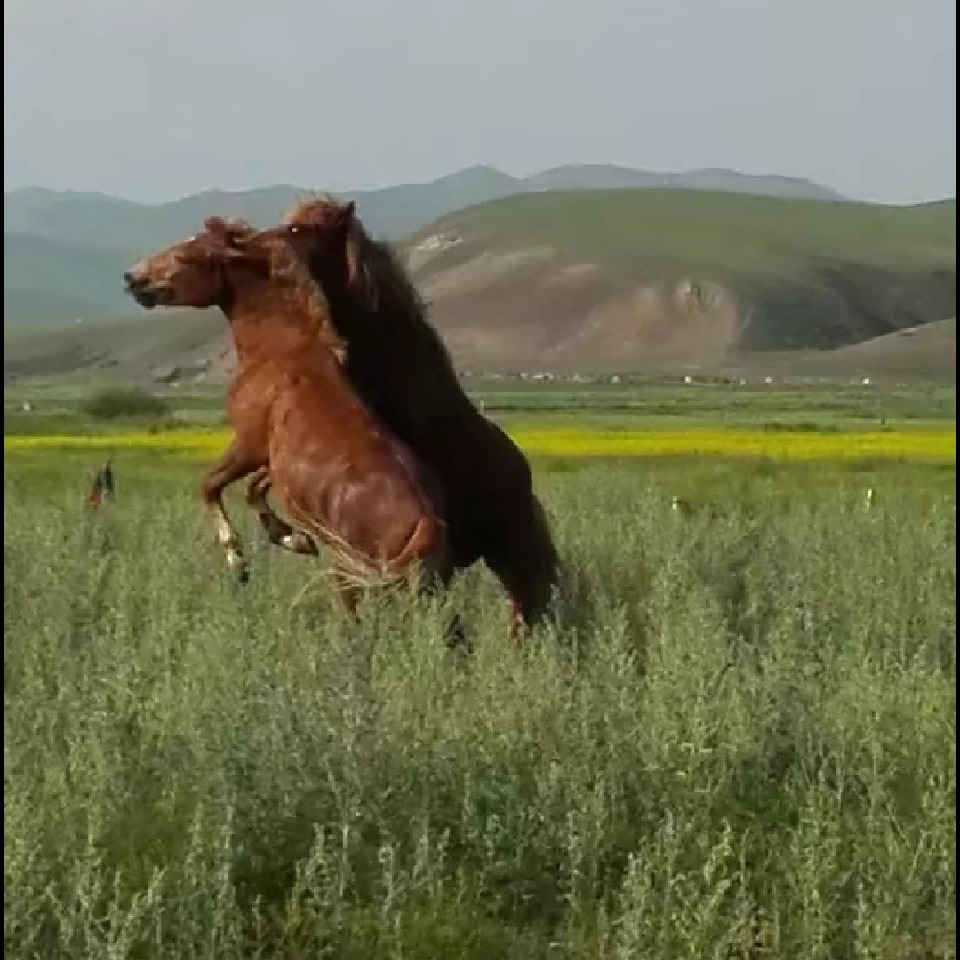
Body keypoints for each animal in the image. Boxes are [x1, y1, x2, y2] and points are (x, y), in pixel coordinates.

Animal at [123, 218, 454, 616]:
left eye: (187, 255)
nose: (132, 278)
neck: (281, 354)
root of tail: (428, 526)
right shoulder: (272, 458)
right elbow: (254, 490)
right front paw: (295, 539)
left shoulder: (249, 443)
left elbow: (210, 485)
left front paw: (238, 559)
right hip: (425, 594)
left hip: (357, 577)